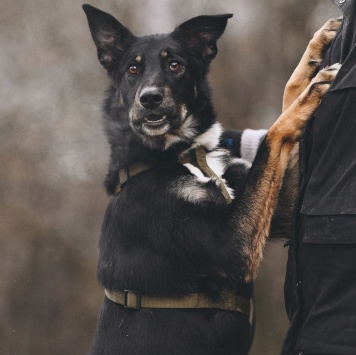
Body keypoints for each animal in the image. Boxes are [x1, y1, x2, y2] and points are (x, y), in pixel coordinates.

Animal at [82, 4, 340, 354]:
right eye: (132, 70)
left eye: (175, 64)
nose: (149, 98)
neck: (182, 155)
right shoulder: (233, 244)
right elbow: (273, 136)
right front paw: (309, 96)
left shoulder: (279, 207)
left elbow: (284, 105)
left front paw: (313, 55)